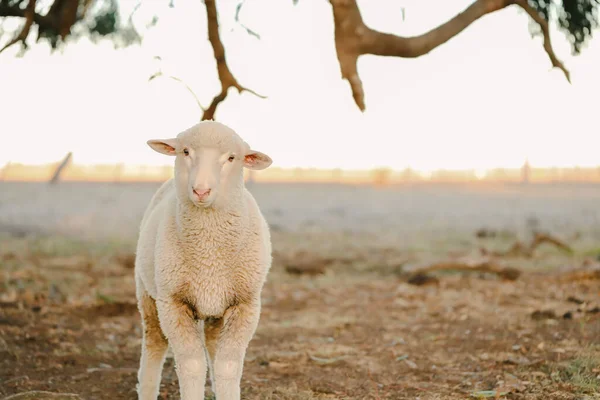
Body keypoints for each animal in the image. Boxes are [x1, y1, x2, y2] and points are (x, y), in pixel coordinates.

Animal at [135, 121, 274, 400]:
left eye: (232, 158)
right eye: (185, 151)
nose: (201, 190)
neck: (209, 256)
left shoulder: (246, 304)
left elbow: (228, 366)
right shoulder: (173, 303)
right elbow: (191, 366)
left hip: (217, 308)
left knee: (213, 348)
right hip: (147, 293)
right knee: (154, 342)